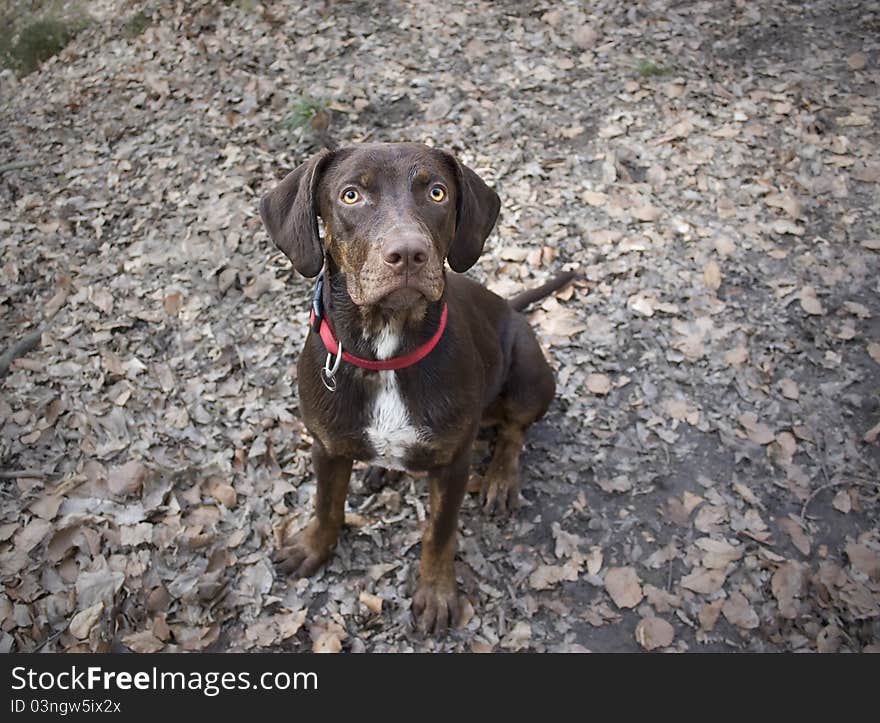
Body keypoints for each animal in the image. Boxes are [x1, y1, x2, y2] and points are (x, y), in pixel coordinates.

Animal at [258, 143, 576, 632]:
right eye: (351, 195)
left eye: (437, 192)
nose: (408, 253)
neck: (386, 352)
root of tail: (510, 305)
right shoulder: (326, 445)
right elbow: (326, 506)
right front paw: (312, 547)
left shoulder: (453, 463)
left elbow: (439, 533)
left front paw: (438, 593)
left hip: (529, 375)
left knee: (514, 431)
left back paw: (501, 477)